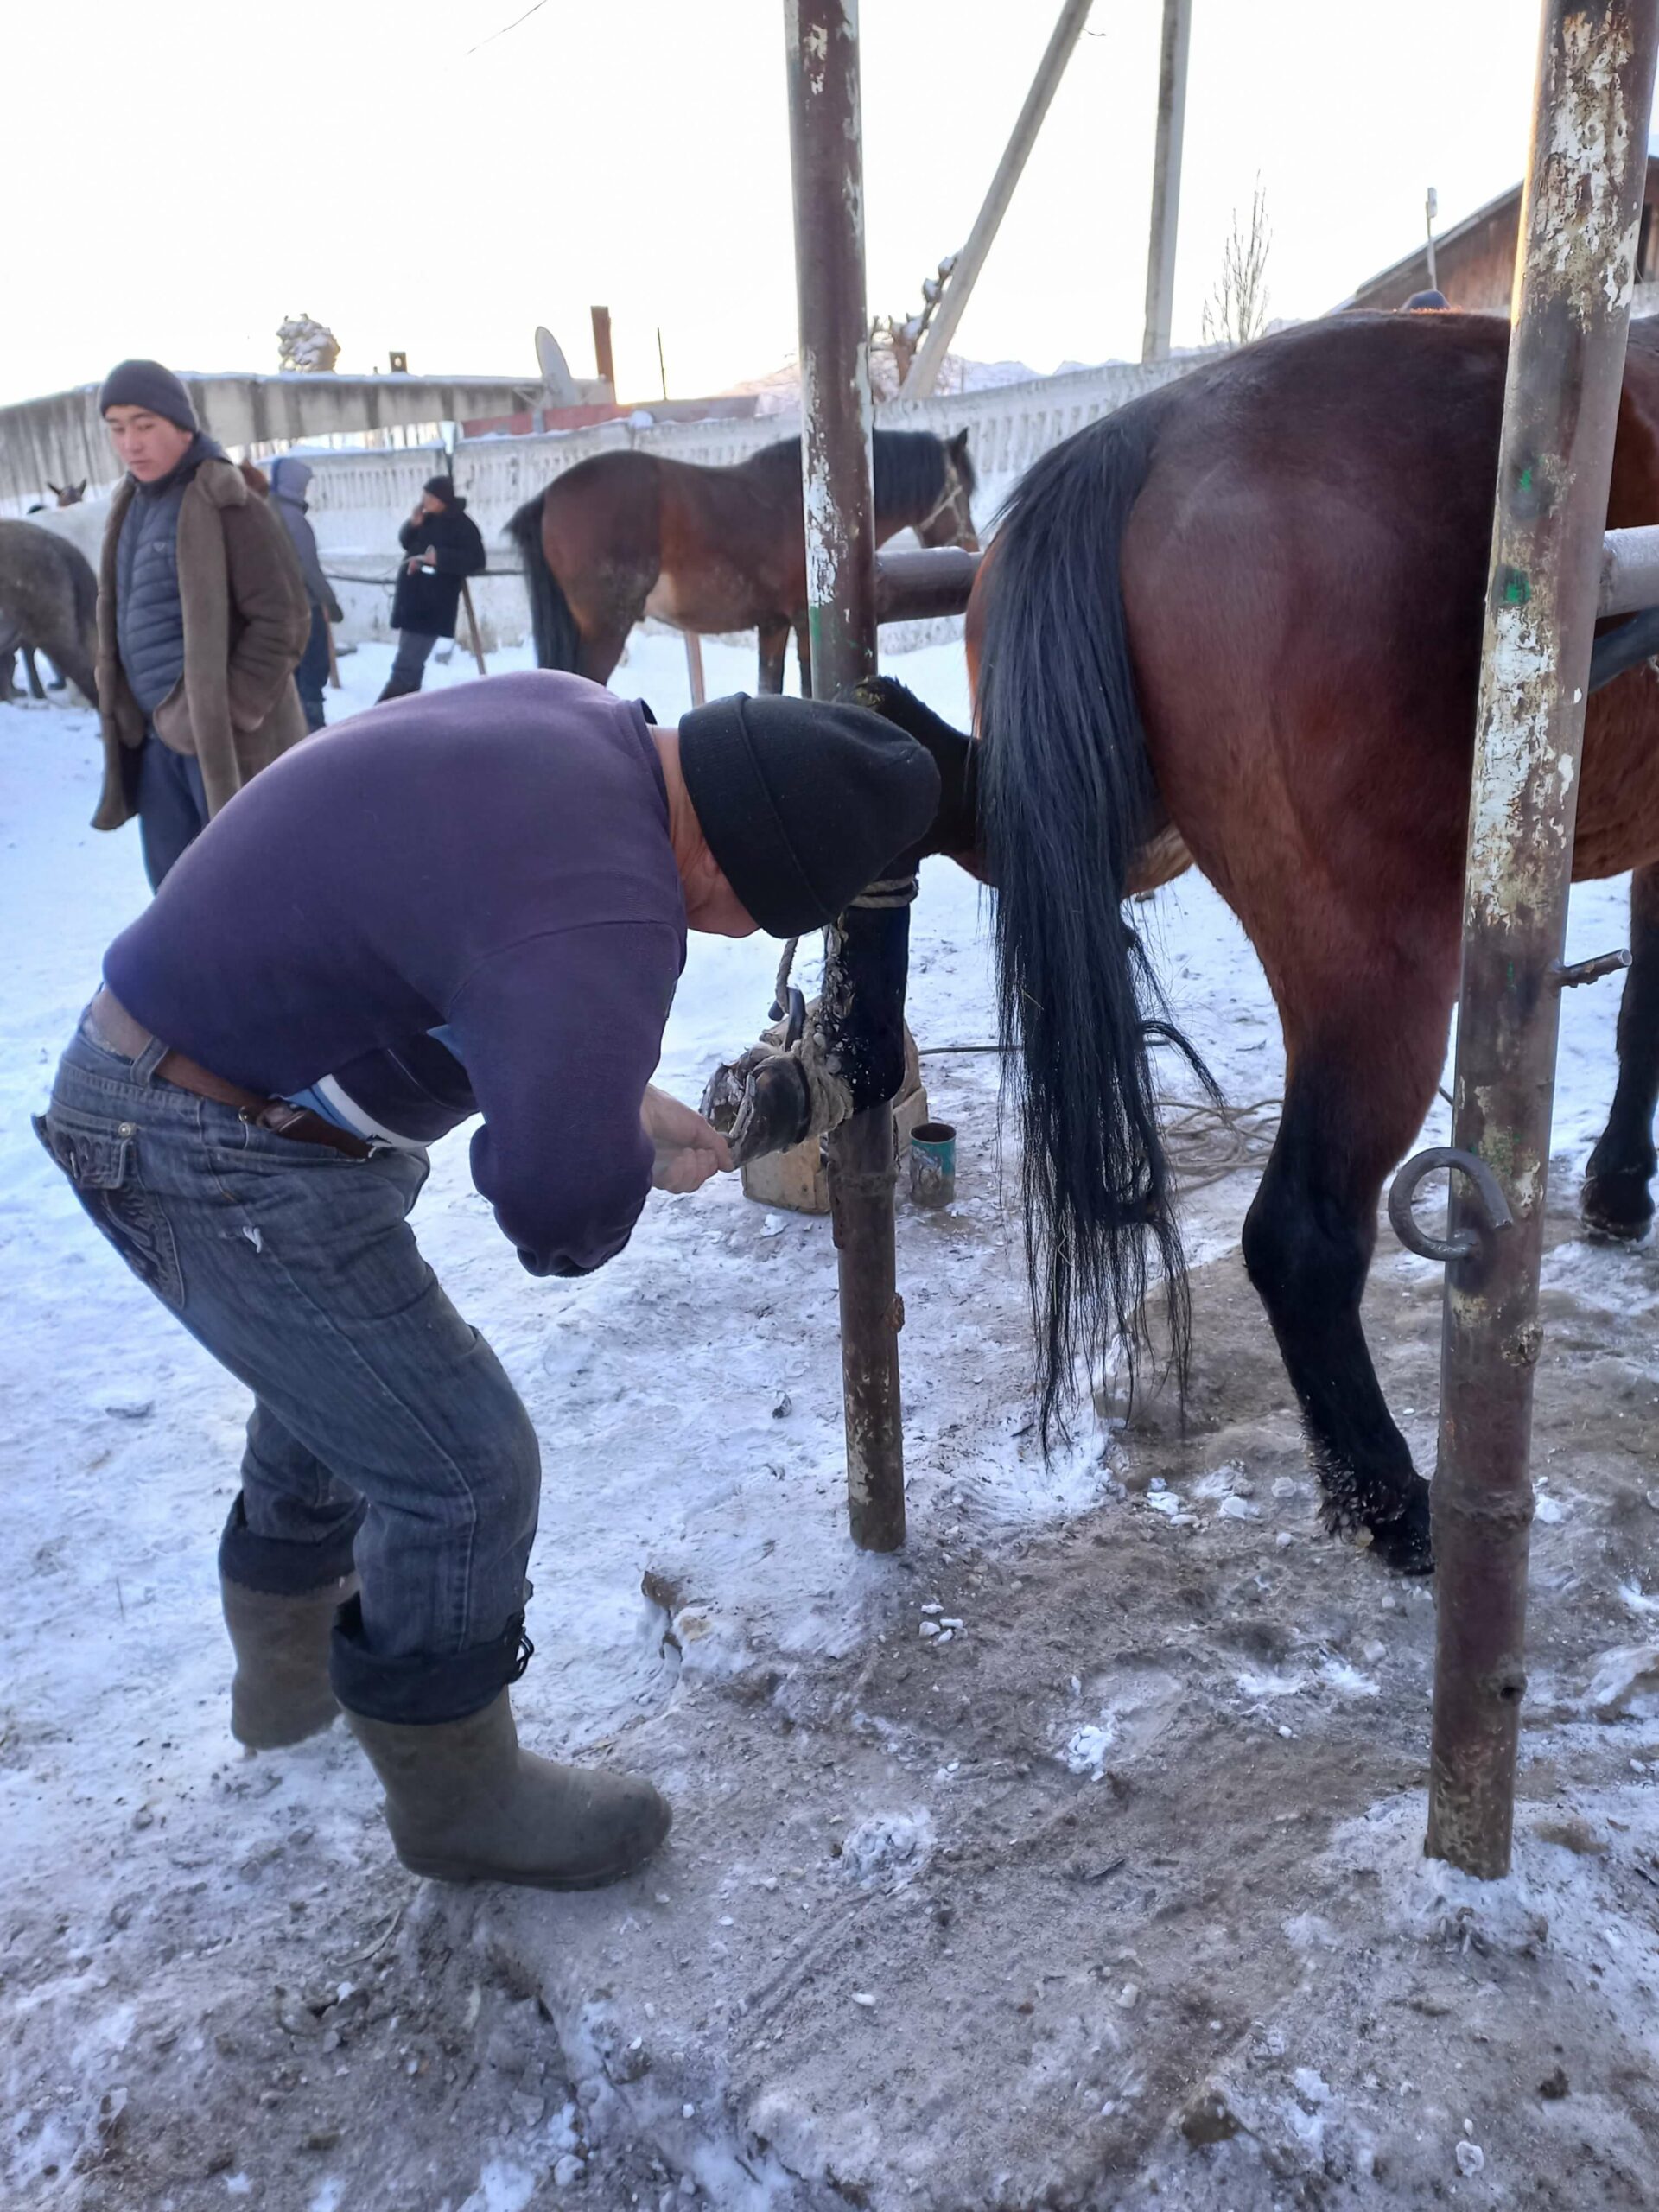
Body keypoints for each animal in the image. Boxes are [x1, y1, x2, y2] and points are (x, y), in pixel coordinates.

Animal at [504, 417, 973, 685]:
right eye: (963, 489)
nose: (970, 544)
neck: (814, 504)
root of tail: (549, 496)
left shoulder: (772, 625)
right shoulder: (804, 623)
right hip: (606, 632)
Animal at [862, 311, 1659, 1583]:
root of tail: (1142, 432)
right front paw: (1625, 1186)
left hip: (1110, 825)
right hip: (1377, 968)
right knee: (1302, 1235)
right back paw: (1394, 1504)